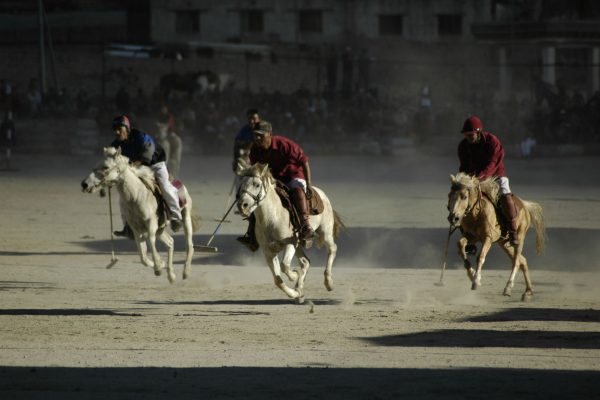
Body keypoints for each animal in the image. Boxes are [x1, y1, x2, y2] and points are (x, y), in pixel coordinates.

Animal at [80, 146, 199, 282]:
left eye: (105, 167)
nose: (84, 184)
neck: (136, 196)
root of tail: (180, 185)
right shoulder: (136, 228)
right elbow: (142, 256)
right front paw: (160, 264)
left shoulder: (151, 223)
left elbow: (150, 241)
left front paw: (158, 268)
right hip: (161, 229)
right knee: (170, 243)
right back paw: (171, 276)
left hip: (185, 217)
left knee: (189, 245)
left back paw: (186, 272)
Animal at [237, 164, 344, 302]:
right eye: (241, 184)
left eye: (257, 184)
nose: (242, 205)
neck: (271, 217)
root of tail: (321, 193)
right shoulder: (268, 252)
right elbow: (278, 280)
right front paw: (296, 293)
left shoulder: (290, 243)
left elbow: (285, 266)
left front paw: (294, 275)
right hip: (299, 244)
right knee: (305, 262)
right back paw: (300, 290)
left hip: (325, 232)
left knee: (332, 249)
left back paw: (329, 283)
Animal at [448, 172, 548, 300]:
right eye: (449, 195)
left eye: (464, 197)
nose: (453, 218)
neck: (476, 213)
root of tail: (524, 205)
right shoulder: (472, 236)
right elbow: (460, 245)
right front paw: (472, 274)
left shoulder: (488, 238)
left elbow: (480, 256)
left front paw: (476, 281)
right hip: (504, 243)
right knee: (523, 261)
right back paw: (528, 292)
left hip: (519, 238)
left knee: (516, 261)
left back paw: (508, 287)